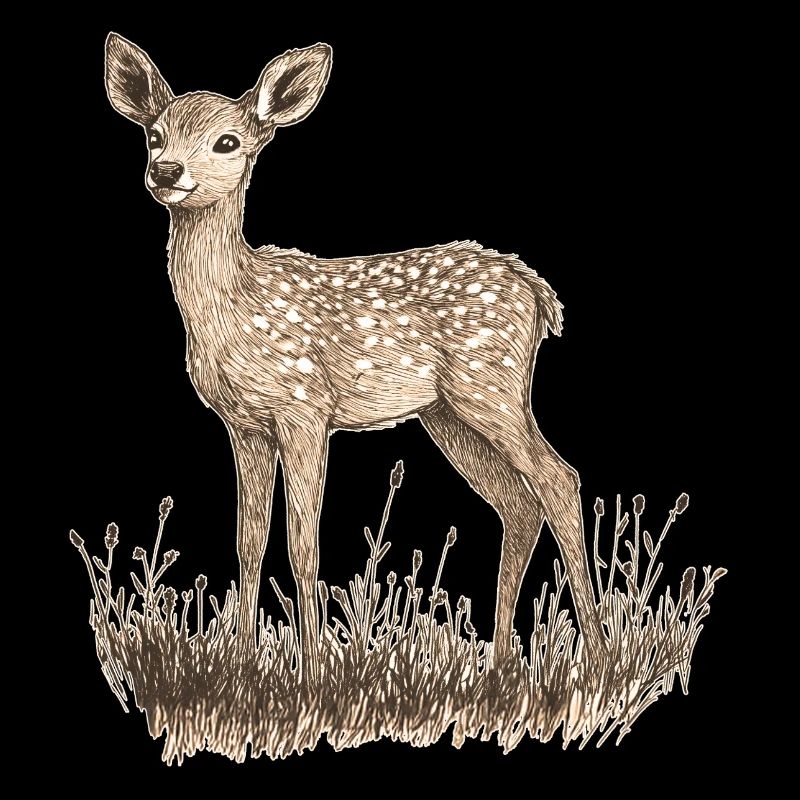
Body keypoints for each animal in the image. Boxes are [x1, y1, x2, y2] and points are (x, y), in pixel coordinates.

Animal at [104, 33, 607, 684]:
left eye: (228, 141)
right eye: (155, 134)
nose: (166, 170)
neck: (234, 309)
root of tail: (539, 293)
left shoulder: (305, 409)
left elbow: (302, 541)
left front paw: (312, 671)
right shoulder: (244, 425)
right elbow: (248, 540)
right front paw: (240, 663)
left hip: (488, 384)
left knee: (558, 480)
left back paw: (599, 657)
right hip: (447, 413)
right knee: (518, 504)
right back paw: (499, 664)